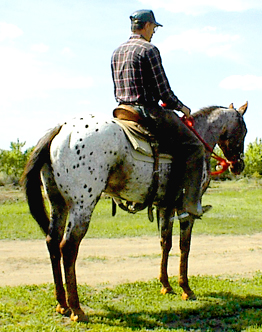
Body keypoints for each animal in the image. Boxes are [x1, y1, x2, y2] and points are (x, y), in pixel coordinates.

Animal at [21, 101, 248, 322]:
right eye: (243, 130)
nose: (238, 165)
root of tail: (61, 128)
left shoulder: (165, 207)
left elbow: (165, 243)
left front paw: (166, 285)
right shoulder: (186, 210)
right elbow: (185, 246)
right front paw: (186, 289)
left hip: (57, 202)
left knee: (52, 242)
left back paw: (62, 304)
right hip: (82, 204)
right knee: (68, 248)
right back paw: (77, 309)